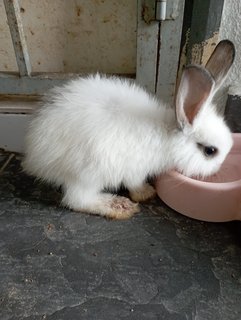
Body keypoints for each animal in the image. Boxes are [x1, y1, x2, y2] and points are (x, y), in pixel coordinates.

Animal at [23, 39, 235, 220]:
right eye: (210, 151)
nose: (217, 169)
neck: (167, 135)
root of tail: (35, 157)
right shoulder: (136, 168)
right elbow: (135, 183)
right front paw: (146, 192)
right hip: (88, 171)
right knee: (77, 200)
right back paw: (119, 206)